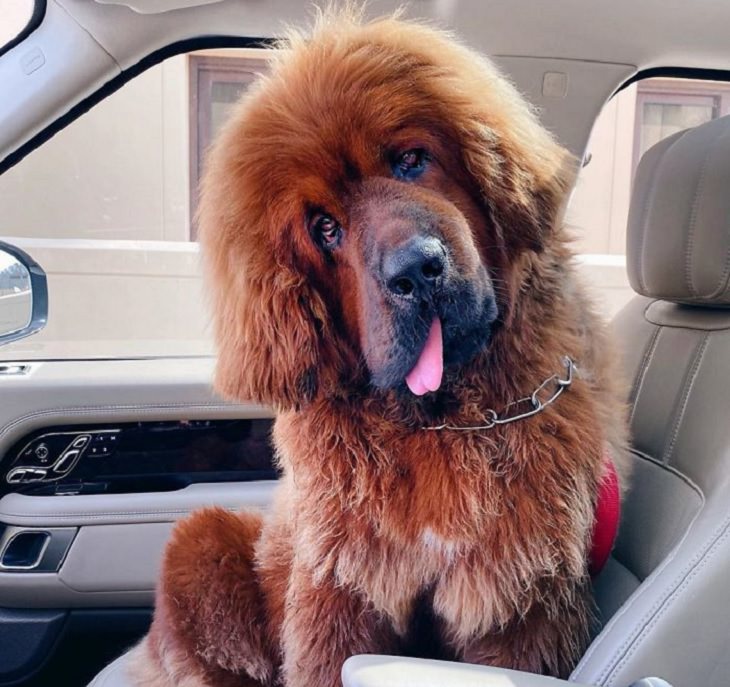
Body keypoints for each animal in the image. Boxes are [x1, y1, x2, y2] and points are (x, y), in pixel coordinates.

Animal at [129, 9, 624, 687]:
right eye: (324, 228)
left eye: (412, 160)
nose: (416, 270)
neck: (444, 423)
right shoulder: (341, 591)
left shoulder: (517, 603)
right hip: (199, 542)